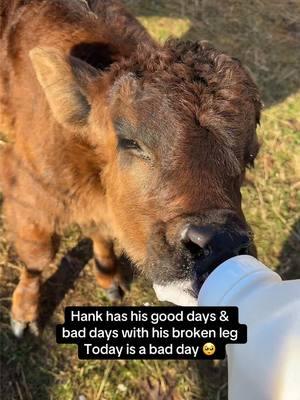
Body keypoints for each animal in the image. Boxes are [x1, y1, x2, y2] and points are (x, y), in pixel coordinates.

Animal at [0, 0, 260, 338]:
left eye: (250, 156)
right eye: (130, 142)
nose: (221, 243)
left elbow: (101, 232)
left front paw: (110, 277)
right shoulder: (29, 195)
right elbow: (37, 257)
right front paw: (23, 316)